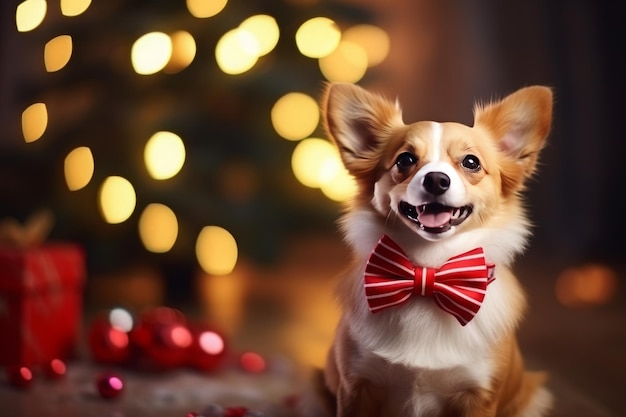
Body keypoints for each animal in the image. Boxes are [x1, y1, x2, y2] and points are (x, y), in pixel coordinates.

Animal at [316, 82, 552, 416]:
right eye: (404, 160)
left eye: (471, 162)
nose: (437, 179)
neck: (429, 269)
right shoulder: (355, 388)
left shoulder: (479, 397)